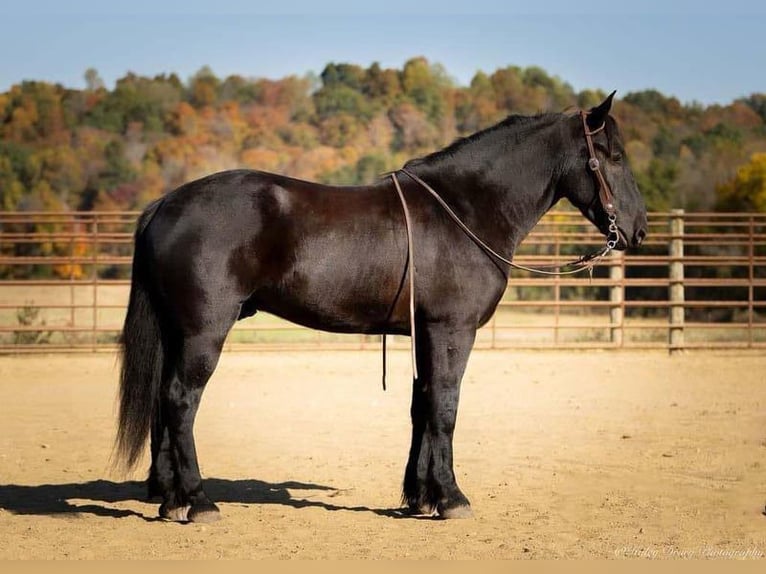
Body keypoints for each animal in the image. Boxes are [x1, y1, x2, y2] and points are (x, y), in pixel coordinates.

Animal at [115, 92, 648, 524]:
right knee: (182, 400)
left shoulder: (425, 333)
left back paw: (172, 501)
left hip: (178, 332)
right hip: (204, 332)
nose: (639, 230)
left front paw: (421, 496)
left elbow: (422, 406)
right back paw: (199, 501)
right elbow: (446, 406)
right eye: (613, 156)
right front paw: (452, 498)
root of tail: (166, 203)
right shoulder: (452, 331)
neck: (465, 209)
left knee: (165, 404)